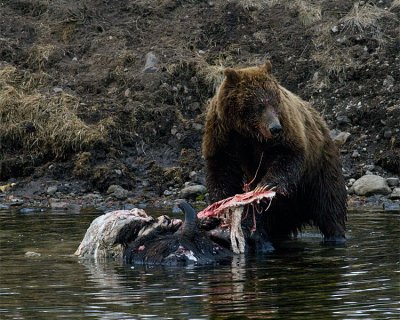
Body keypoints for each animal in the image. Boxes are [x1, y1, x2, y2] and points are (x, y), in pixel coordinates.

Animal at [203, 61, 346, 244]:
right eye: (259, 105)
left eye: (275, 102)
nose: (275, 128)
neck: (247, 132)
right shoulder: (223, 134)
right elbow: (222, 170)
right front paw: (217, 212)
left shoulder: (286, 129)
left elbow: (288, 155)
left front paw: (265, 185)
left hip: (320, 169)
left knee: (329, 205)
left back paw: (336, 235)